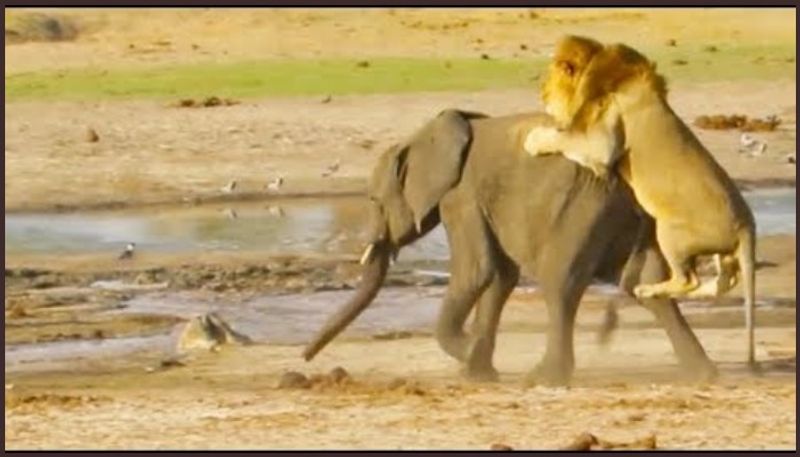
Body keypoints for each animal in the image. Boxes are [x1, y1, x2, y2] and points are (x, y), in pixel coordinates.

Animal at [302, 108, 720, 382]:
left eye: (374, 201)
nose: (305, 358)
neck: (421, 136)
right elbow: (501, 276)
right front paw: (477, 371)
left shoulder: (461, 197)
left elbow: (477, 270)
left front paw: (471, 354)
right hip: (636, 215)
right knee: (645, 284)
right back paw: (702, 374)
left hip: (585, 204)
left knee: (561, 281)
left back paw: (545, 378)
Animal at [524, 34, 756, 366]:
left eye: (548, 84)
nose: (541, 94)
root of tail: (747, 226)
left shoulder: (603, 141)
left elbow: (566, 138)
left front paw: (534, 139)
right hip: (721, 253)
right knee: (723, 283)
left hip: (669, 232)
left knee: (689, 279)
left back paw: (648, 290)